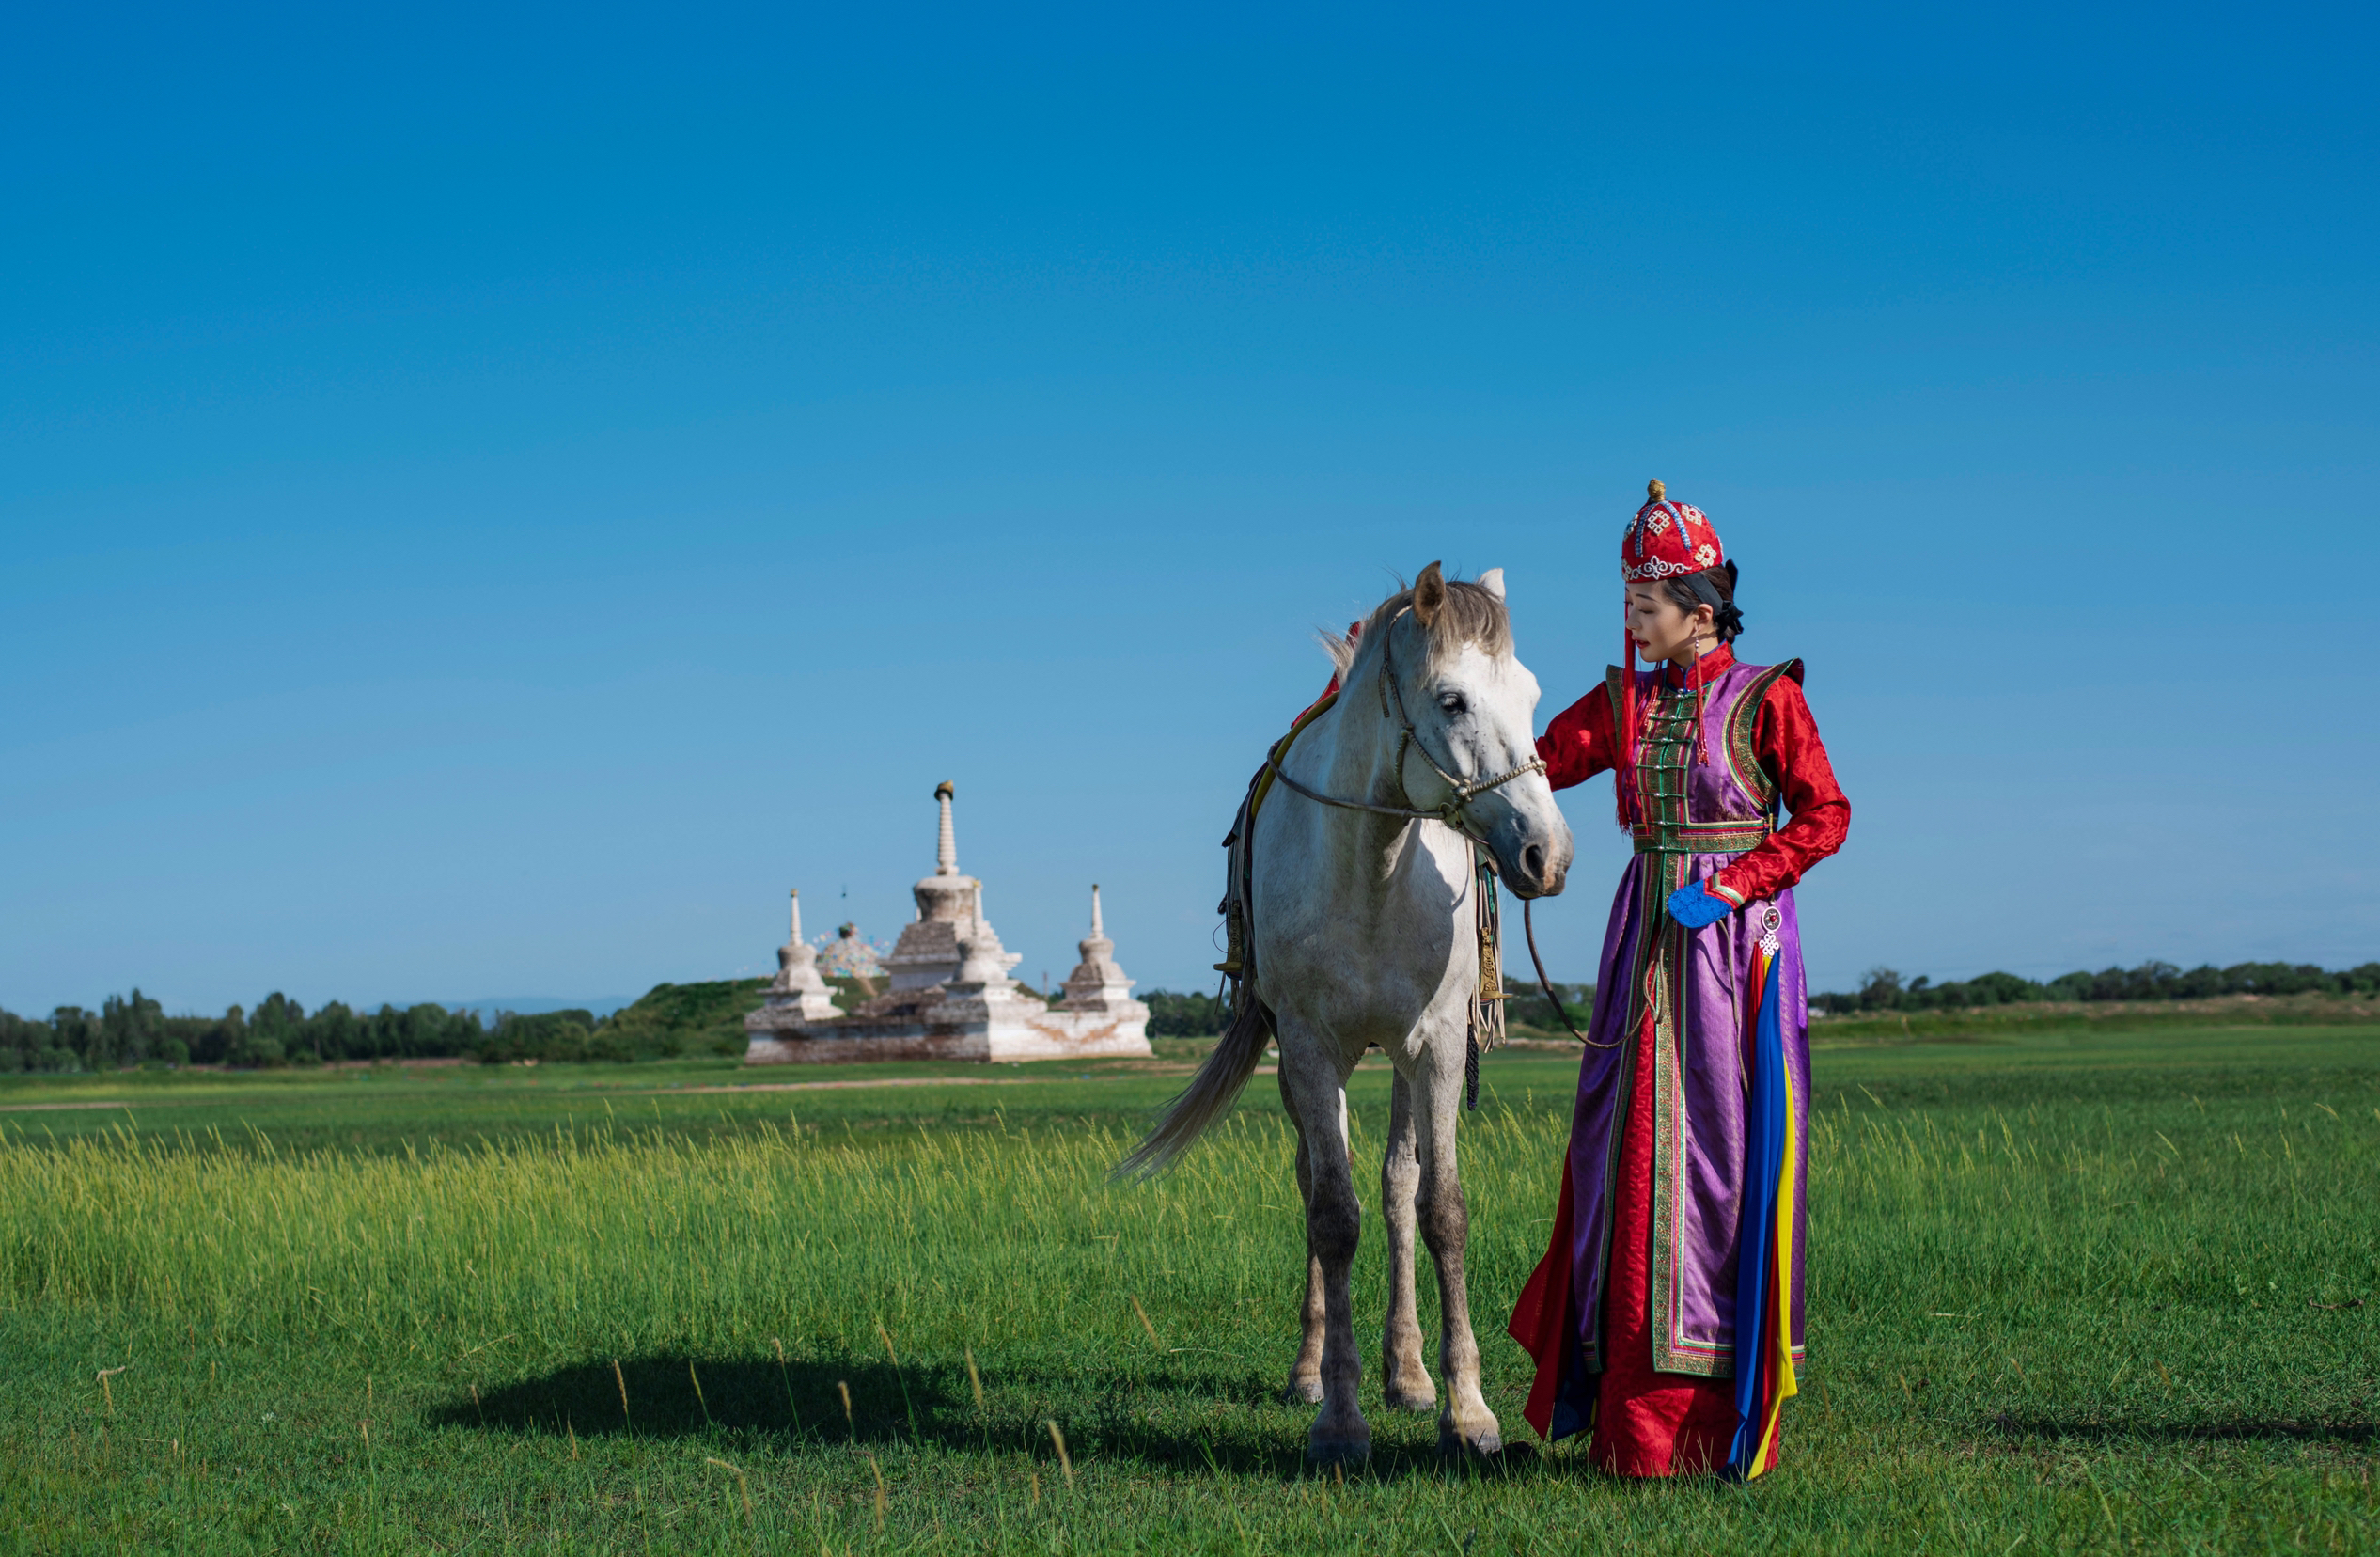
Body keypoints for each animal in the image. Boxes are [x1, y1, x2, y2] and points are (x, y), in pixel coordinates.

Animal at [1121, 561, 1573, 1465]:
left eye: (1533, 694)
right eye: (1452, 700)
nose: (1548, 853)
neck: (1374, 867)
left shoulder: (1438, 1046)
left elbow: (1441, 1211)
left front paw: (1467, 1410)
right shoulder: (1307, 1048)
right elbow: (1332, 1214)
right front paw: (1337, 1415)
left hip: (1399, 1057)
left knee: (1399, 1186)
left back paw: (1409, 1374)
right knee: (1313, 1184)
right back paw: (1310, 1368)